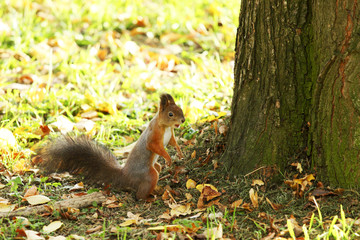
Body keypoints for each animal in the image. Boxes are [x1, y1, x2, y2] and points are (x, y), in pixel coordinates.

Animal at [36, 93, 186, 200]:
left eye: (180, 109)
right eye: (170, 114)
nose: (183, 120)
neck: (166, 127)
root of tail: (125, 175)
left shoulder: (171, 135)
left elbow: (173, 142)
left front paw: (179, 152)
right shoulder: (154, 134)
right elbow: (154, 146)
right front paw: (168, 157)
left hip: (153, 167)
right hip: (148, 173)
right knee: (141, 193)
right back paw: (148, 198)